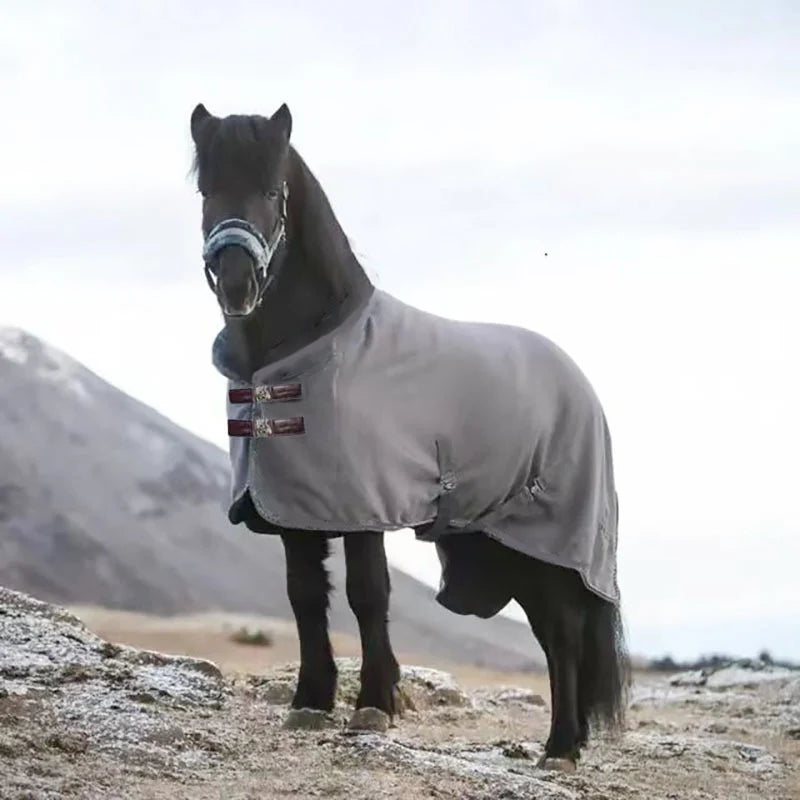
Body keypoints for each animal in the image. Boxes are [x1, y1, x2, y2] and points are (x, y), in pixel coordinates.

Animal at [189, 101, 629, 770]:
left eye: (271, 191)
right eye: (206, 190)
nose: (237, 282)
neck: (308, 350)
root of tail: (579, 384)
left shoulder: (364, 504)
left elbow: (367, 594)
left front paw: (373, 704)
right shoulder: (294, 509)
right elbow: (304, 595)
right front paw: (311, 701)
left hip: (550, 539)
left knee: (563, 631)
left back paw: (559, 747)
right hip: (511, 545)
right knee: (557, 634)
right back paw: (569, 740)